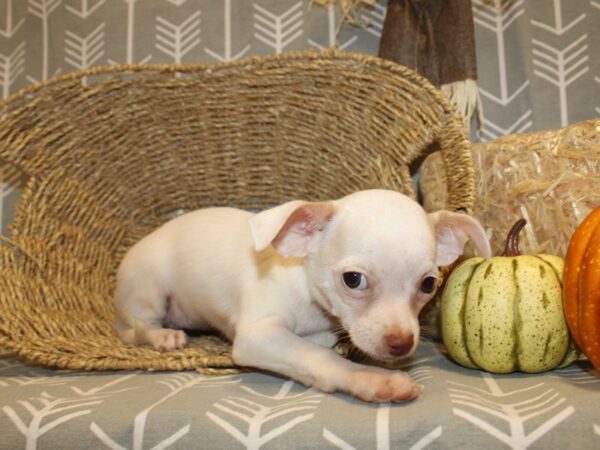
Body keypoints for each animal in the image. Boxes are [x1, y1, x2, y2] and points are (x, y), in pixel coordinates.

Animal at [115, 188, 490, 402]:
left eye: (428, 284)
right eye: (353, 280)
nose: (401, 343)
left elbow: (320, 346)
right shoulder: (258, 335)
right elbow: (318, 356)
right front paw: (371, 378)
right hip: (150, 292)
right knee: (137, 328)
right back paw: (163, 337)